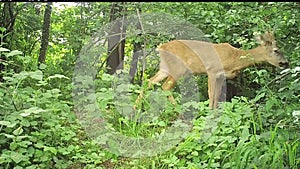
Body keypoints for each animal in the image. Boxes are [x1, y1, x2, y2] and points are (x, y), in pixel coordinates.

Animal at [135, 31, 288, 109]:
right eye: (276, 50)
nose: (285, 62)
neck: (235, 59)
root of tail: (160, 47)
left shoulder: (221, 76)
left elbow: (217, 95)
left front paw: (214, 112)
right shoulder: (212, 70)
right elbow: (211, 94)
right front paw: (209, 113)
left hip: (165, 68)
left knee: (149, 81)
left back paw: (136, 108)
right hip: (177, 68)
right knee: (165, 87)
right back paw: (178, 110)